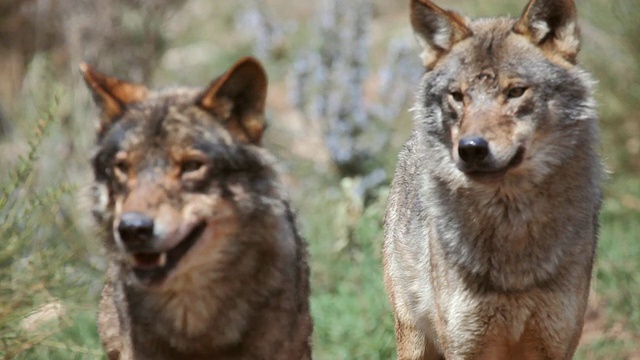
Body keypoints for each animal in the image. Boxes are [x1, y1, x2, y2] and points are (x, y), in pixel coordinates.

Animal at [382, 1, 604, 358]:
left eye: (515, 92)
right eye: (457, 96)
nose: (470, 148)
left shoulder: (555, 344)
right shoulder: (465, 346)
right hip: (414, 339)